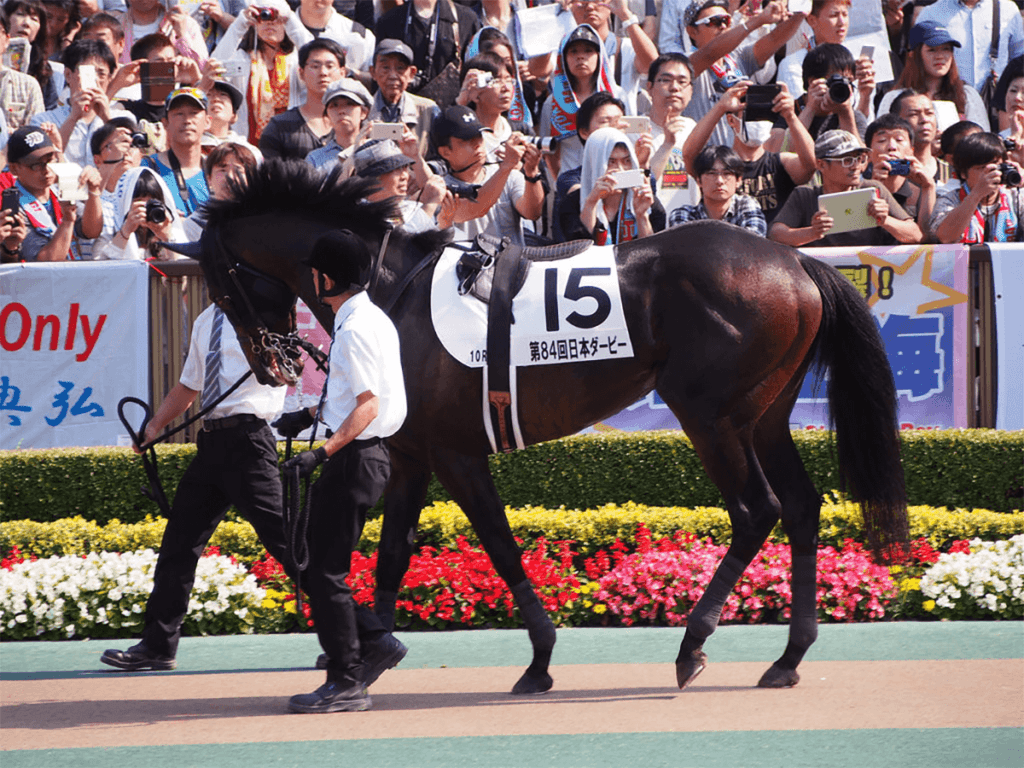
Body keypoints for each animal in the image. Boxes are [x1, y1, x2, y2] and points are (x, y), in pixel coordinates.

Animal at [190, 160, 908, 695]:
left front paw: (537, 661)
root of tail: (795, 263)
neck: (394, 294)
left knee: (757, 509)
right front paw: (365, 661)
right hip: (762, 418)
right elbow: (393, 553)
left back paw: (692, 645)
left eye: (220, 285)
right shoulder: (413, 455)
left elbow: (501, 547)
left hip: (709, 415)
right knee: (802, 507)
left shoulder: (455, 454)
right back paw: (788, 657)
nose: (272, 362)